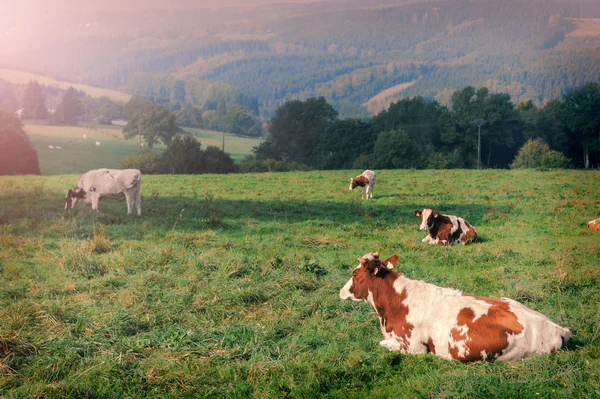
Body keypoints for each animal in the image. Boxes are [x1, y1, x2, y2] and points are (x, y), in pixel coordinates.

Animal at [342, 255, 572, 364]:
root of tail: (556, 327)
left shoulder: (415, 348)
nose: (341, 291)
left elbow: (382, 344)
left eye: (354, 274)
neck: (395, 303)